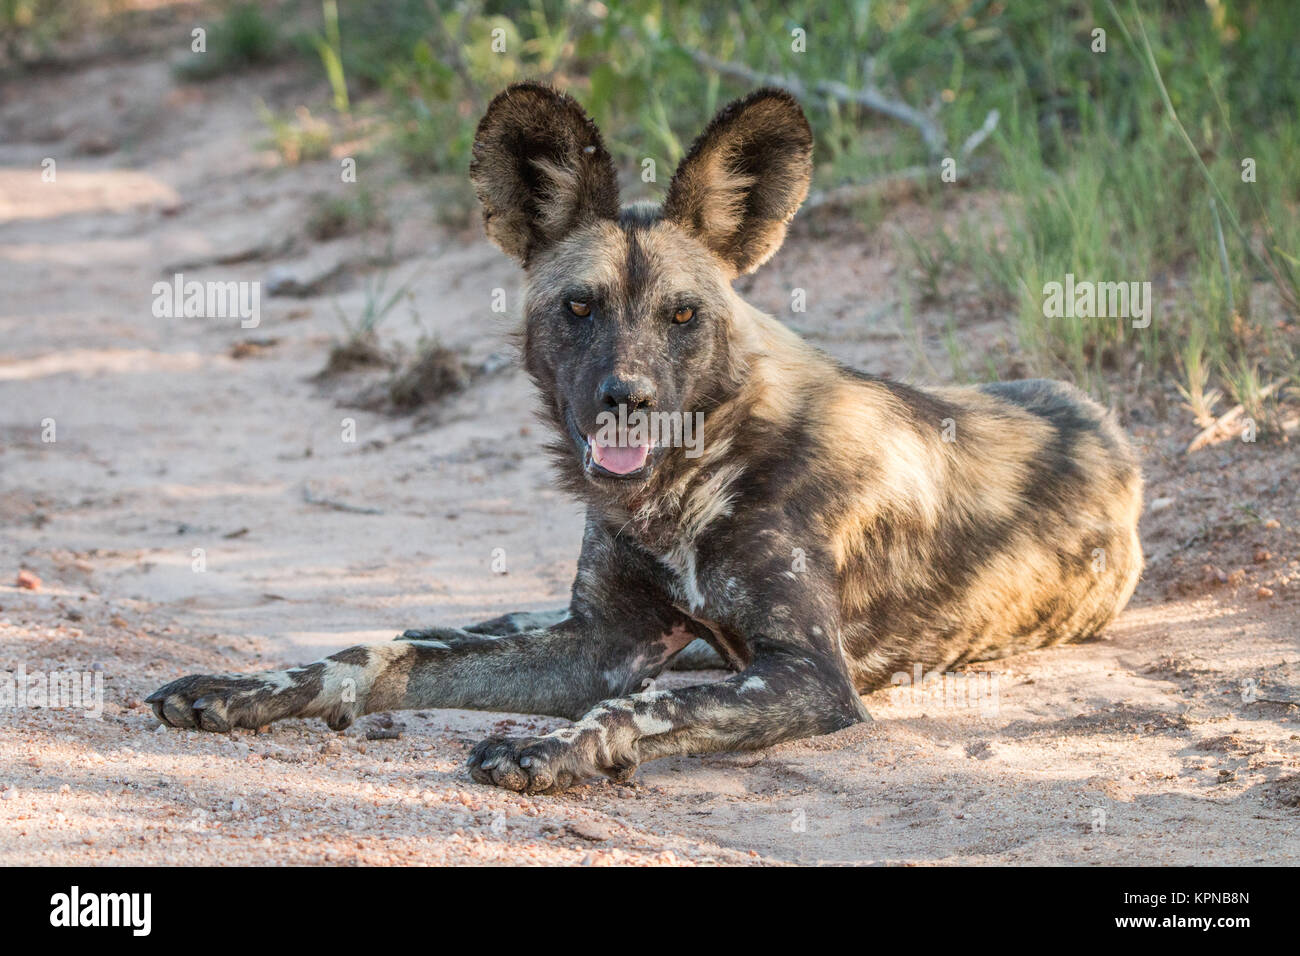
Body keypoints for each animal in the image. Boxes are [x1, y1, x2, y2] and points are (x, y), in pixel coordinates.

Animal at [147, 87, 1144, 790]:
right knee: (481, 625)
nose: (626, 400)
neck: (684, 489)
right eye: (579, 307)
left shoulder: (807, 677)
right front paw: (247, 691)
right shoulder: (602, 644)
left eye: (682, 315)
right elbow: (376, 656)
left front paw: (556, 749)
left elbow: (647, 703)